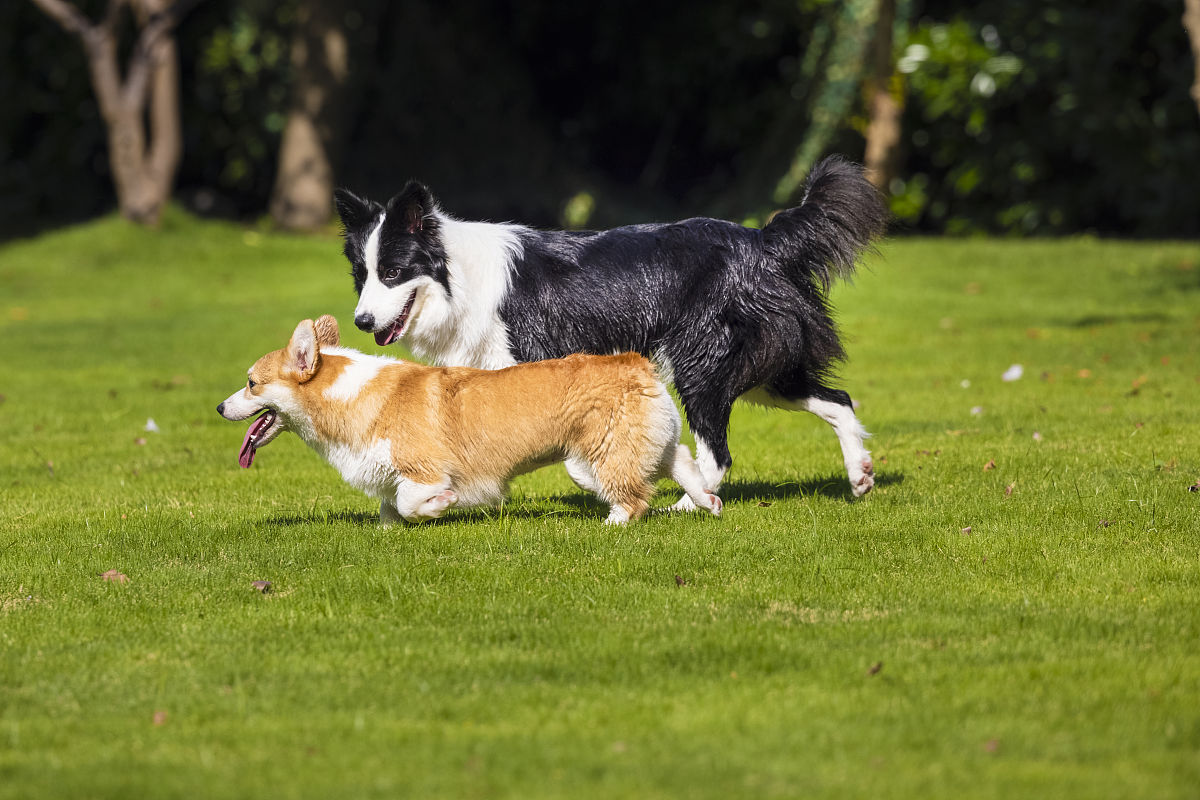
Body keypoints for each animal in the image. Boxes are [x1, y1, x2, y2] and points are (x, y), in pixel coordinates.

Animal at [333, 157, 888, 503]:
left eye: (393, 273)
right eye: (361, 276)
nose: (361, 321)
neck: (458, 279)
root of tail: (763, 239)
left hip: (702, 364)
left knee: (718, 454)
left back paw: (688, 505)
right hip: (763, 369)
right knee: (839, 399)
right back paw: (860, 476)